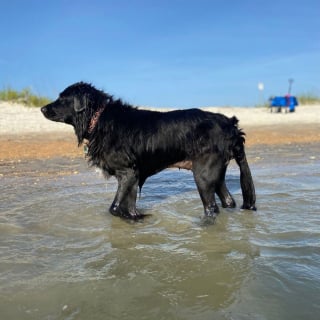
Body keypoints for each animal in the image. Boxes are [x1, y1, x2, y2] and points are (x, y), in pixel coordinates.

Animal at [40, 83, 255, 220]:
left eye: (62, 98)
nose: (42, 108)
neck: (98, 119)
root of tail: (231, 125)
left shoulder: (127, 172)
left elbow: (114, 208)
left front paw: (136, 217)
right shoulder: (132, 176)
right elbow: (128, 205)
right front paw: (135, 217)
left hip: (203, 174)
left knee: (212, 208)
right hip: (216, 173)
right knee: (228, 200)